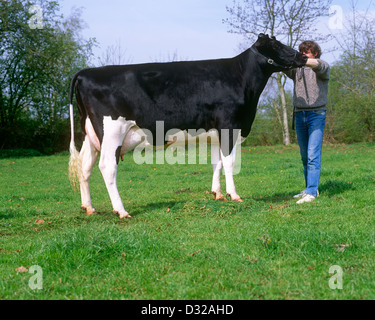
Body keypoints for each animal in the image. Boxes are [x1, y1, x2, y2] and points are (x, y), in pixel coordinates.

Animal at [69, 34, 306, 218]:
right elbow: (229, 163)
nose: (303, 56)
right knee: (107, 167)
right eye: (277, 45)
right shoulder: (229, 126)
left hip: (91, 134)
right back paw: (121, 210)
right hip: (112, 132)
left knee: (85, 166)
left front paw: (218, 194)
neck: (240, 78)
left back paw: (88, 207)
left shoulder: (215, 133)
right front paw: (234, 195)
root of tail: (86, 72)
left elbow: (217, 163)